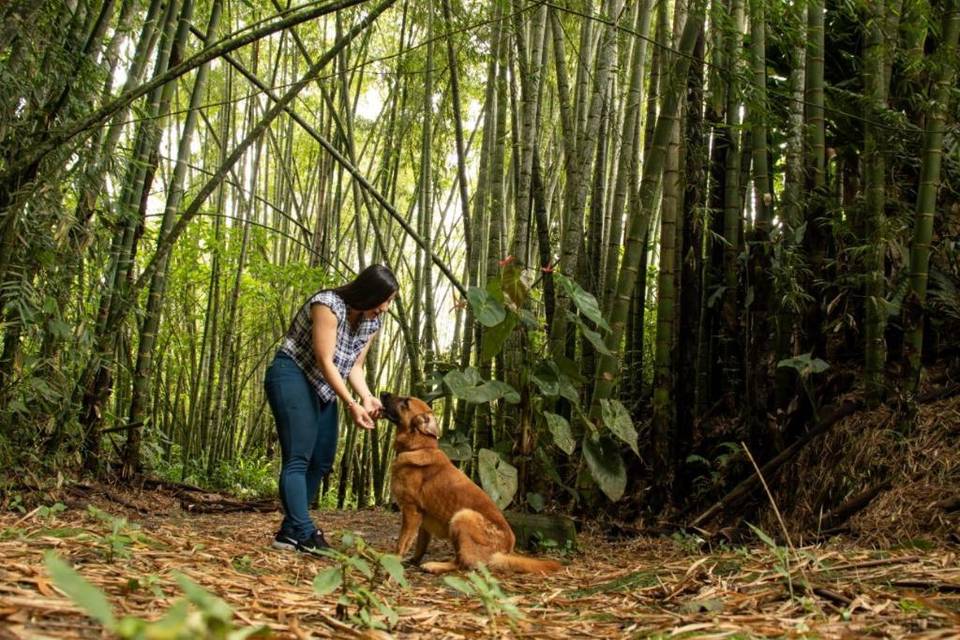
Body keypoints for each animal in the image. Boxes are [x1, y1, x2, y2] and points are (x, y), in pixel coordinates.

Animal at [380, 390, 564, 576]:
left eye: (406, 402)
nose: (383, 393)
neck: (418, 447)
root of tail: (505, 551)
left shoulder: (411, 512)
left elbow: (401, 544)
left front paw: (392, 567)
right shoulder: (423, 520)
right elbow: (420, 545)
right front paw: (412, 561)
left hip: (463, 516)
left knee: (463, 563)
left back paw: (436, 566)